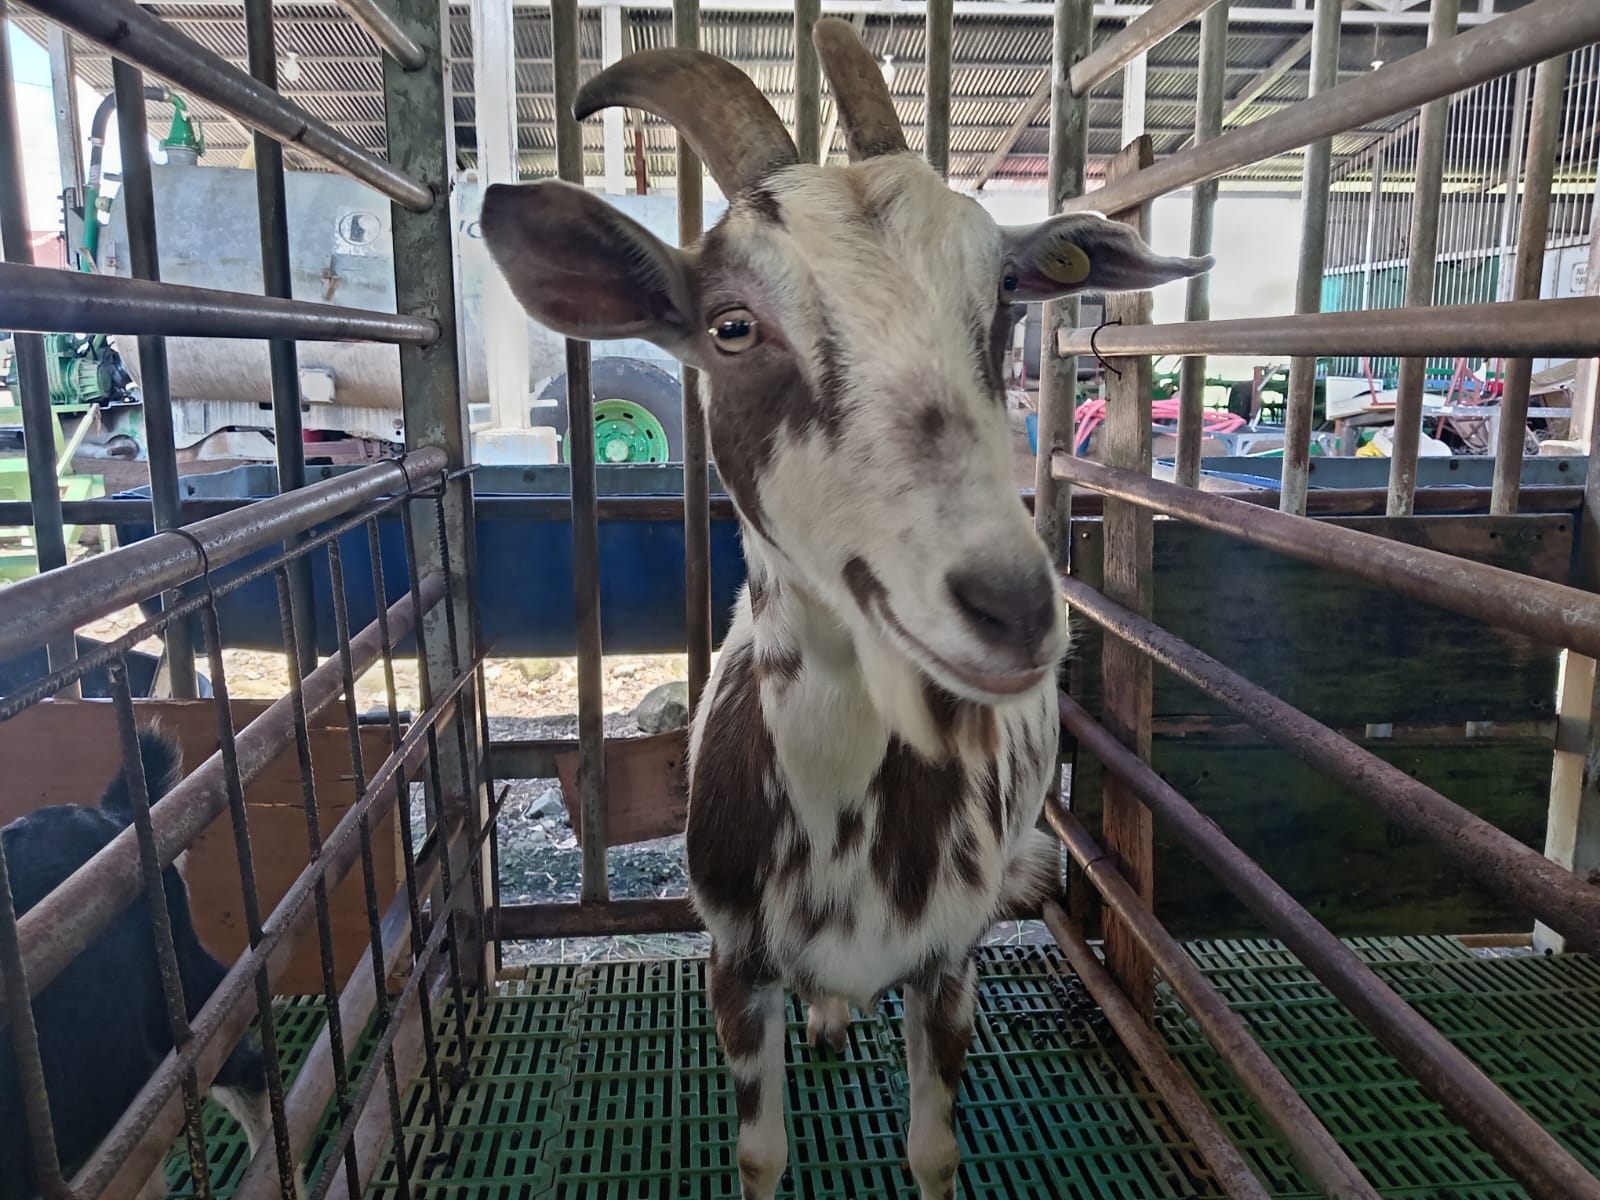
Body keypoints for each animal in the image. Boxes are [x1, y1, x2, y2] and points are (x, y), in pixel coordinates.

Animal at [480, 20, 1211, 1199]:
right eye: (733, 325)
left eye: (1003, 304)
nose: (1011, 607)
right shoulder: (733, 962)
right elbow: (761, 1152)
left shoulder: (949, 965)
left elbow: (932, 1146)